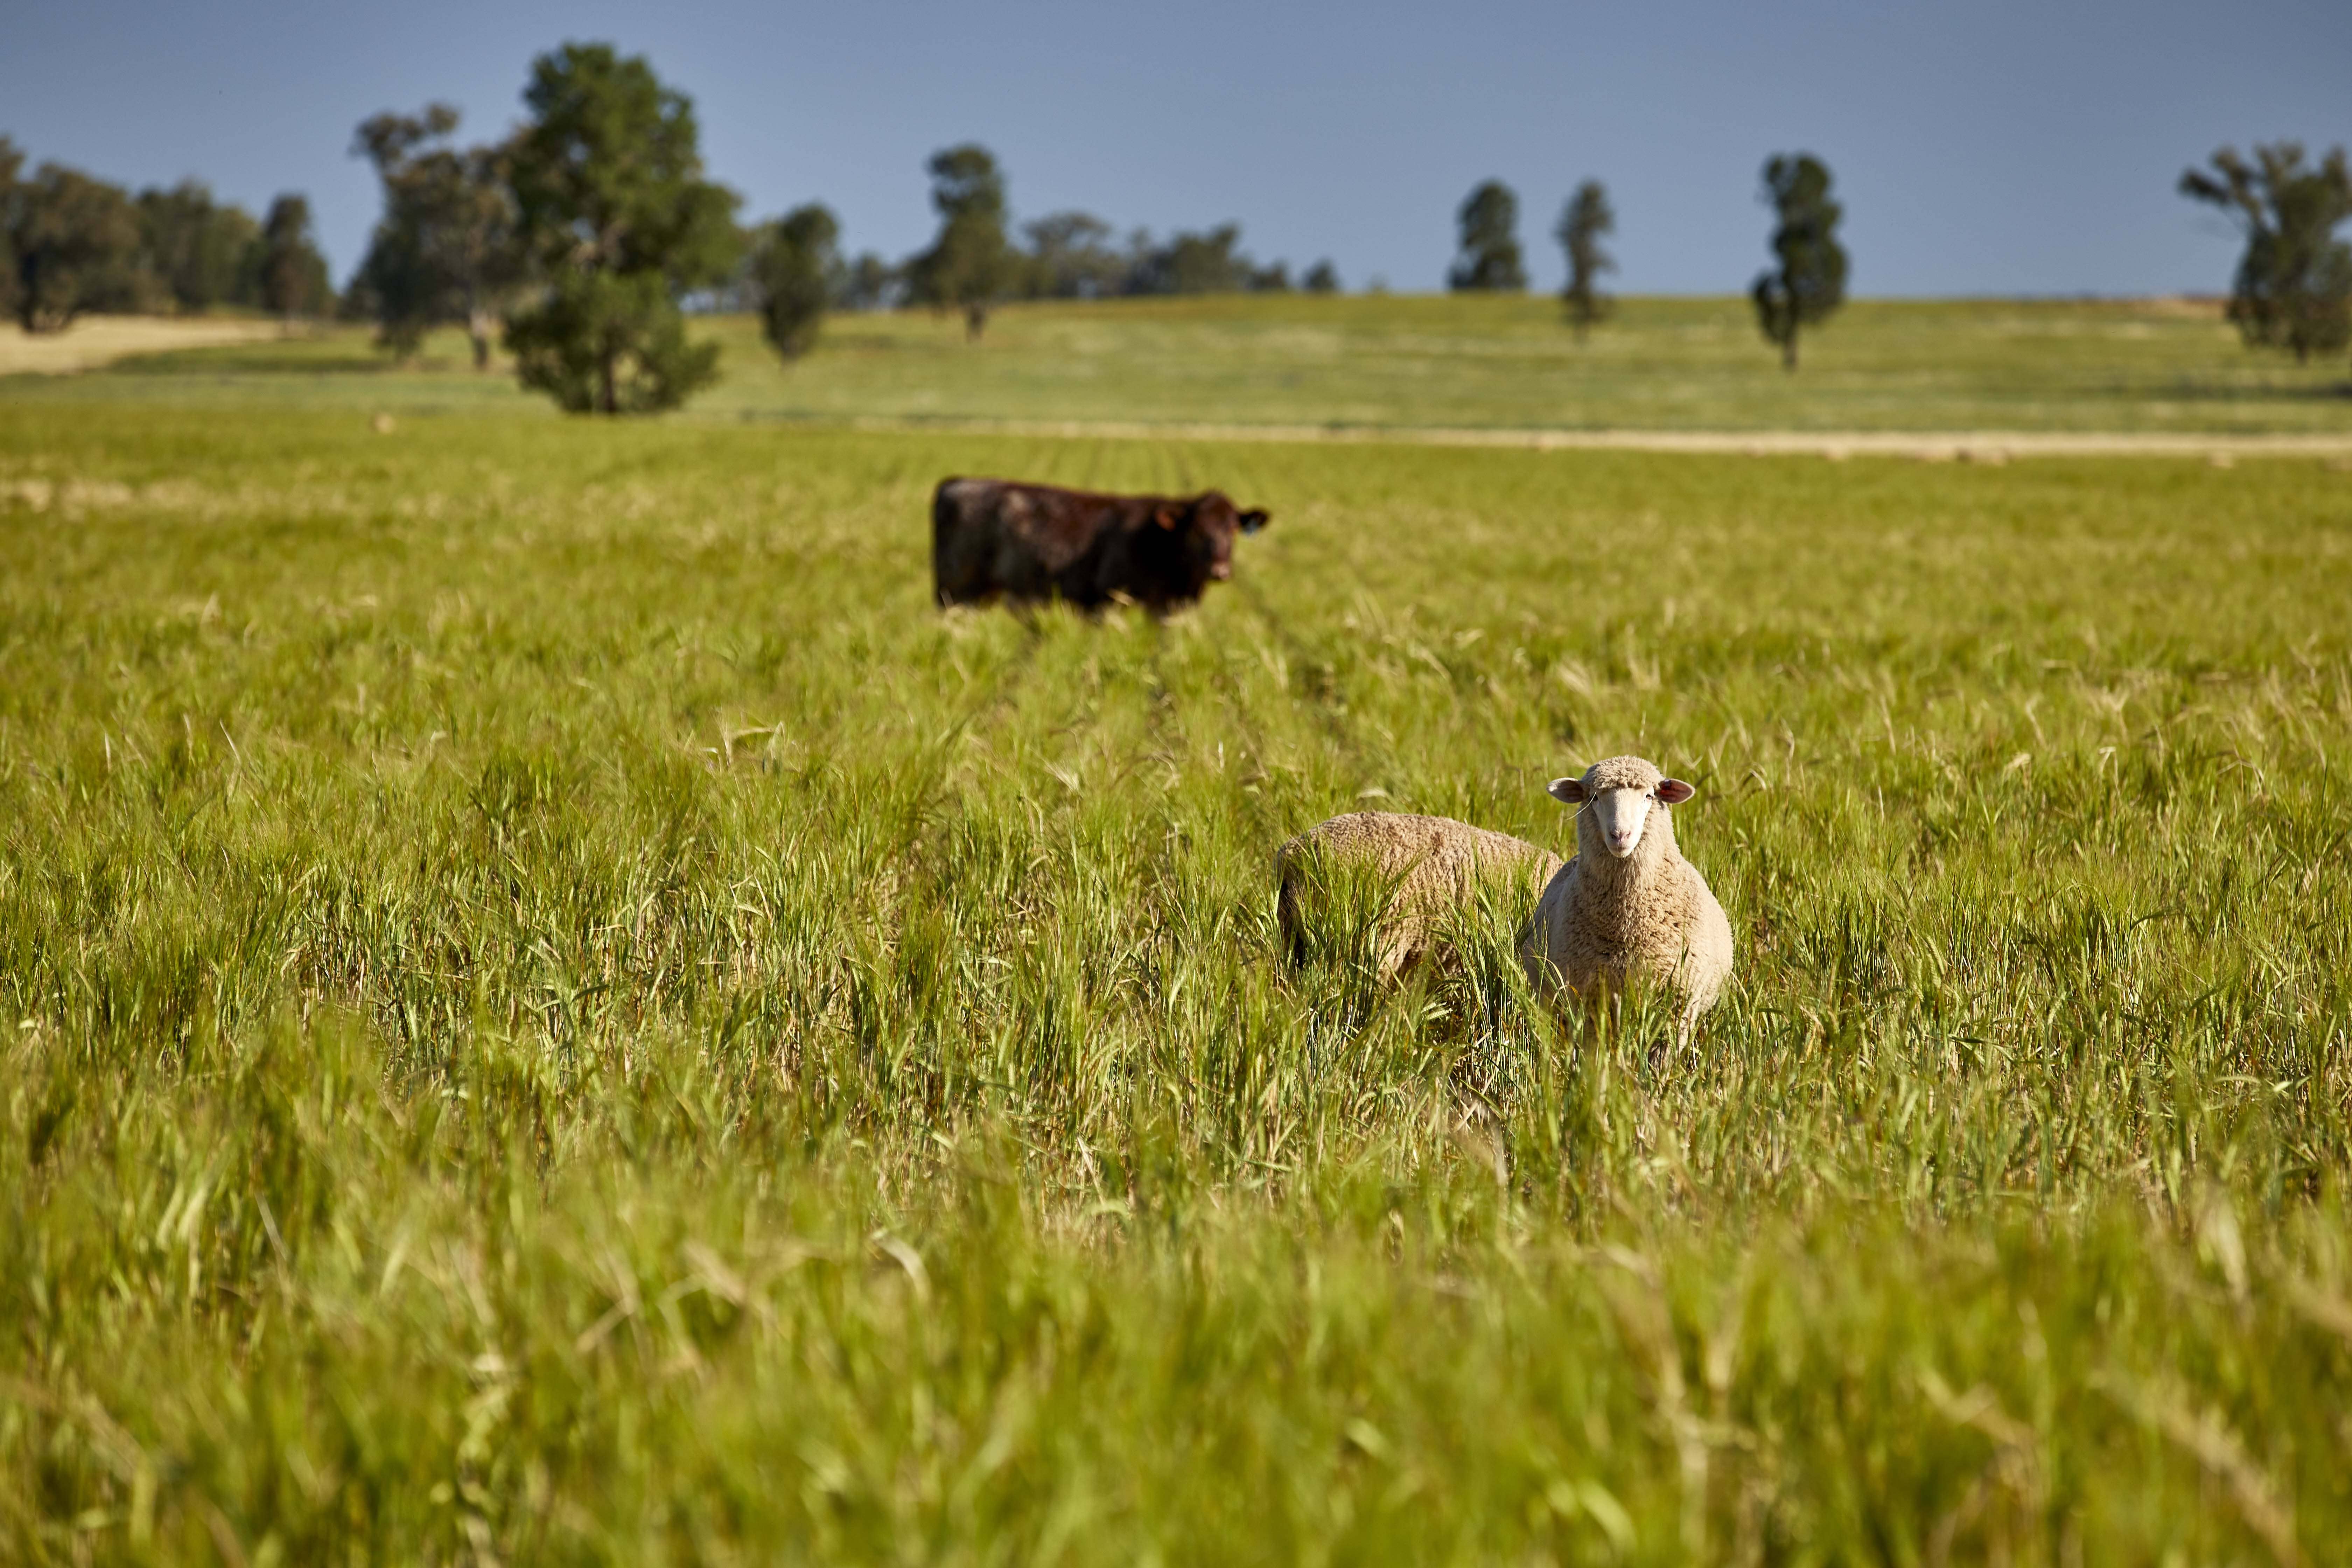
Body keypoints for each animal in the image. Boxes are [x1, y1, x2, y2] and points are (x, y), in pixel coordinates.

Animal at [1520, 755, 1734, 1047]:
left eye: (1649, 796)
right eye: (1595, 798)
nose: (1620, 835)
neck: (1626, 926)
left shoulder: (1679, 1006)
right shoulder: (1589, 1001)